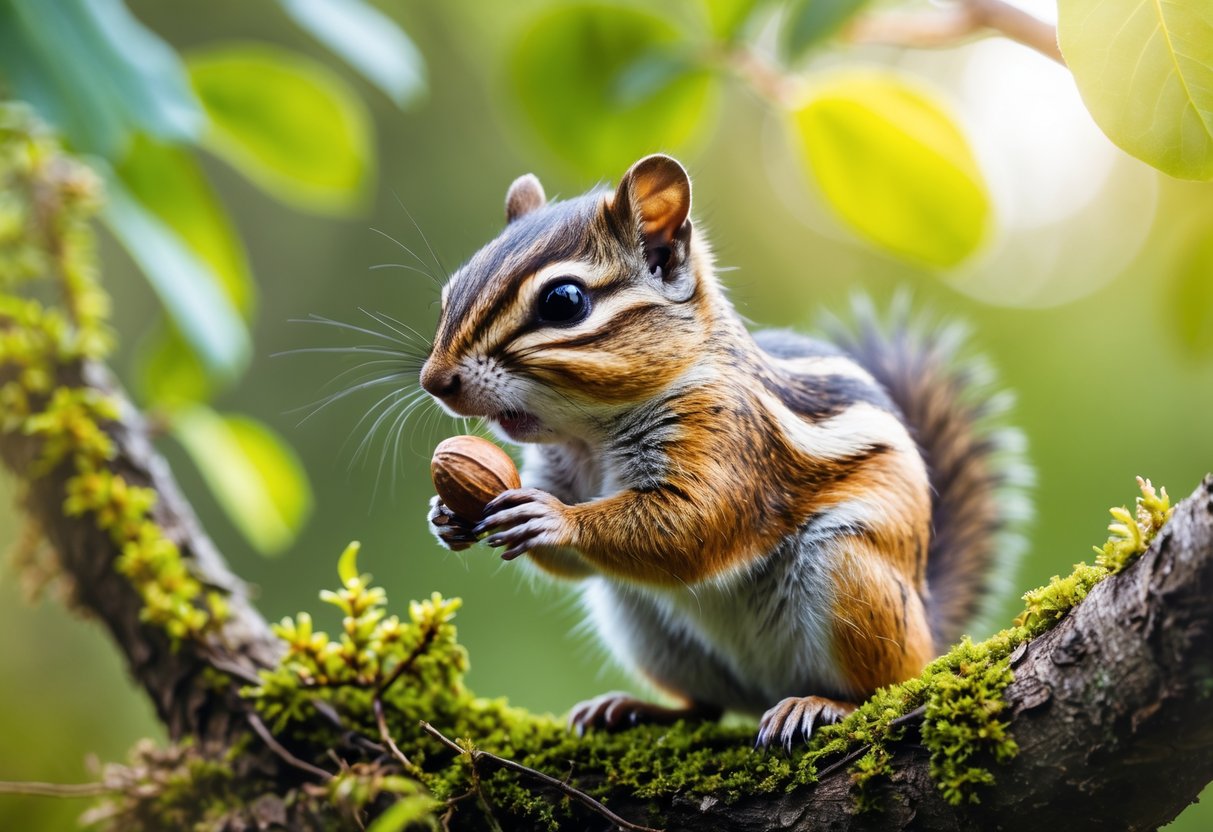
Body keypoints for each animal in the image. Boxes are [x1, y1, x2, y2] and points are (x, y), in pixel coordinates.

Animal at [418, 154, 1028, 749]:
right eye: (448, 295)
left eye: (563, 301)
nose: (434, 381)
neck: (590, 434)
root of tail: (931, 628)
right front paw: (447, 516)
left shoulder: (729, 437)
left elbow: (693, 525)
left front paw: (554, 518)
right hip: (637, 615)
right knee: (706, 707)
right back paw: (633, 709)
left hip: (850, 573)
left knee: (884, 683)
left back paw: (822, 703)